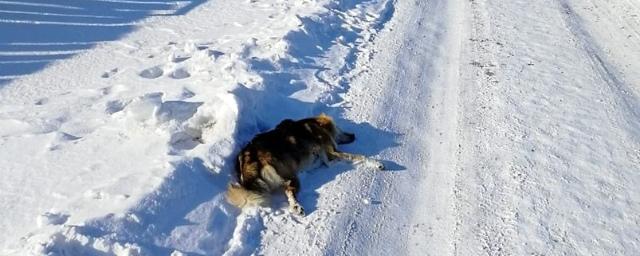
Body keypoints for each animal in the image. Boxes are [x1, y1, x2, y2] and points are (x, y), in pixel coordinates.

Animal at [228, 114, 382, 216]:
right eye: (340, 129)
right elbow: (360, 156)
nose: (353, 135)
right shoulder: (332, 153)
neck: (316, 125)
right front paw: (376, 163)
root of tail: (249, 156)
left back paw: (295, 207)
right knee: (289, 191)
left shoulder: (329, 159)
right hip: (289, 175)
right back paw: (297, 206)